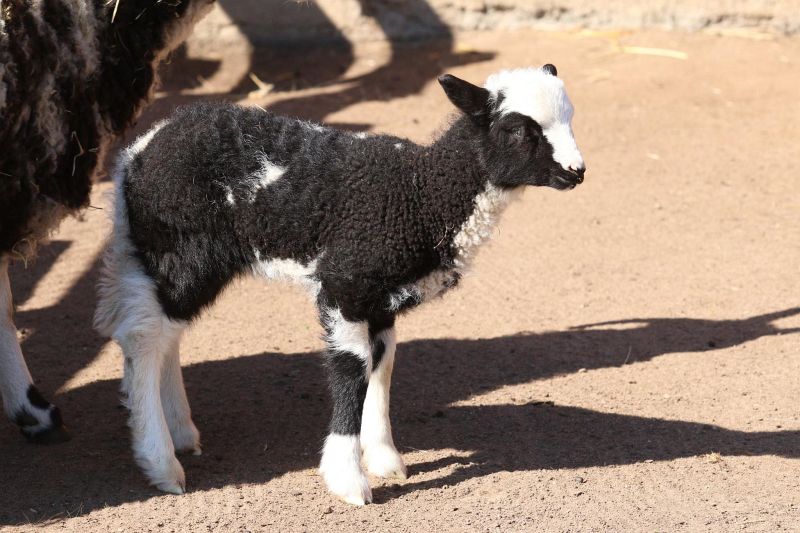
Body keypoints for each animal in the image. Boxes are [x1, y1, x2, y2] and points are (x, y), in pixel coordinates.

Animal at [95, 64, 588, 500]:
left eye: (570, 118)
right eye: (517, 130)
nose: (577, 171)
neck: (419, 194)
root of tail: (137, 153)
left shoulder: (381, 300)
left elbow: (382, 364)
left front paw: (385, 456)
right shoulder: (345, 285)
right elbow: (352, 368)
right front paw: (349, 480)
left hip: (169, 259)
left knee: (164, 334)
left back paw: (180, 432)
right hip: (180, 251)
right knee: (144, 338)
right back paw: (161, 462)